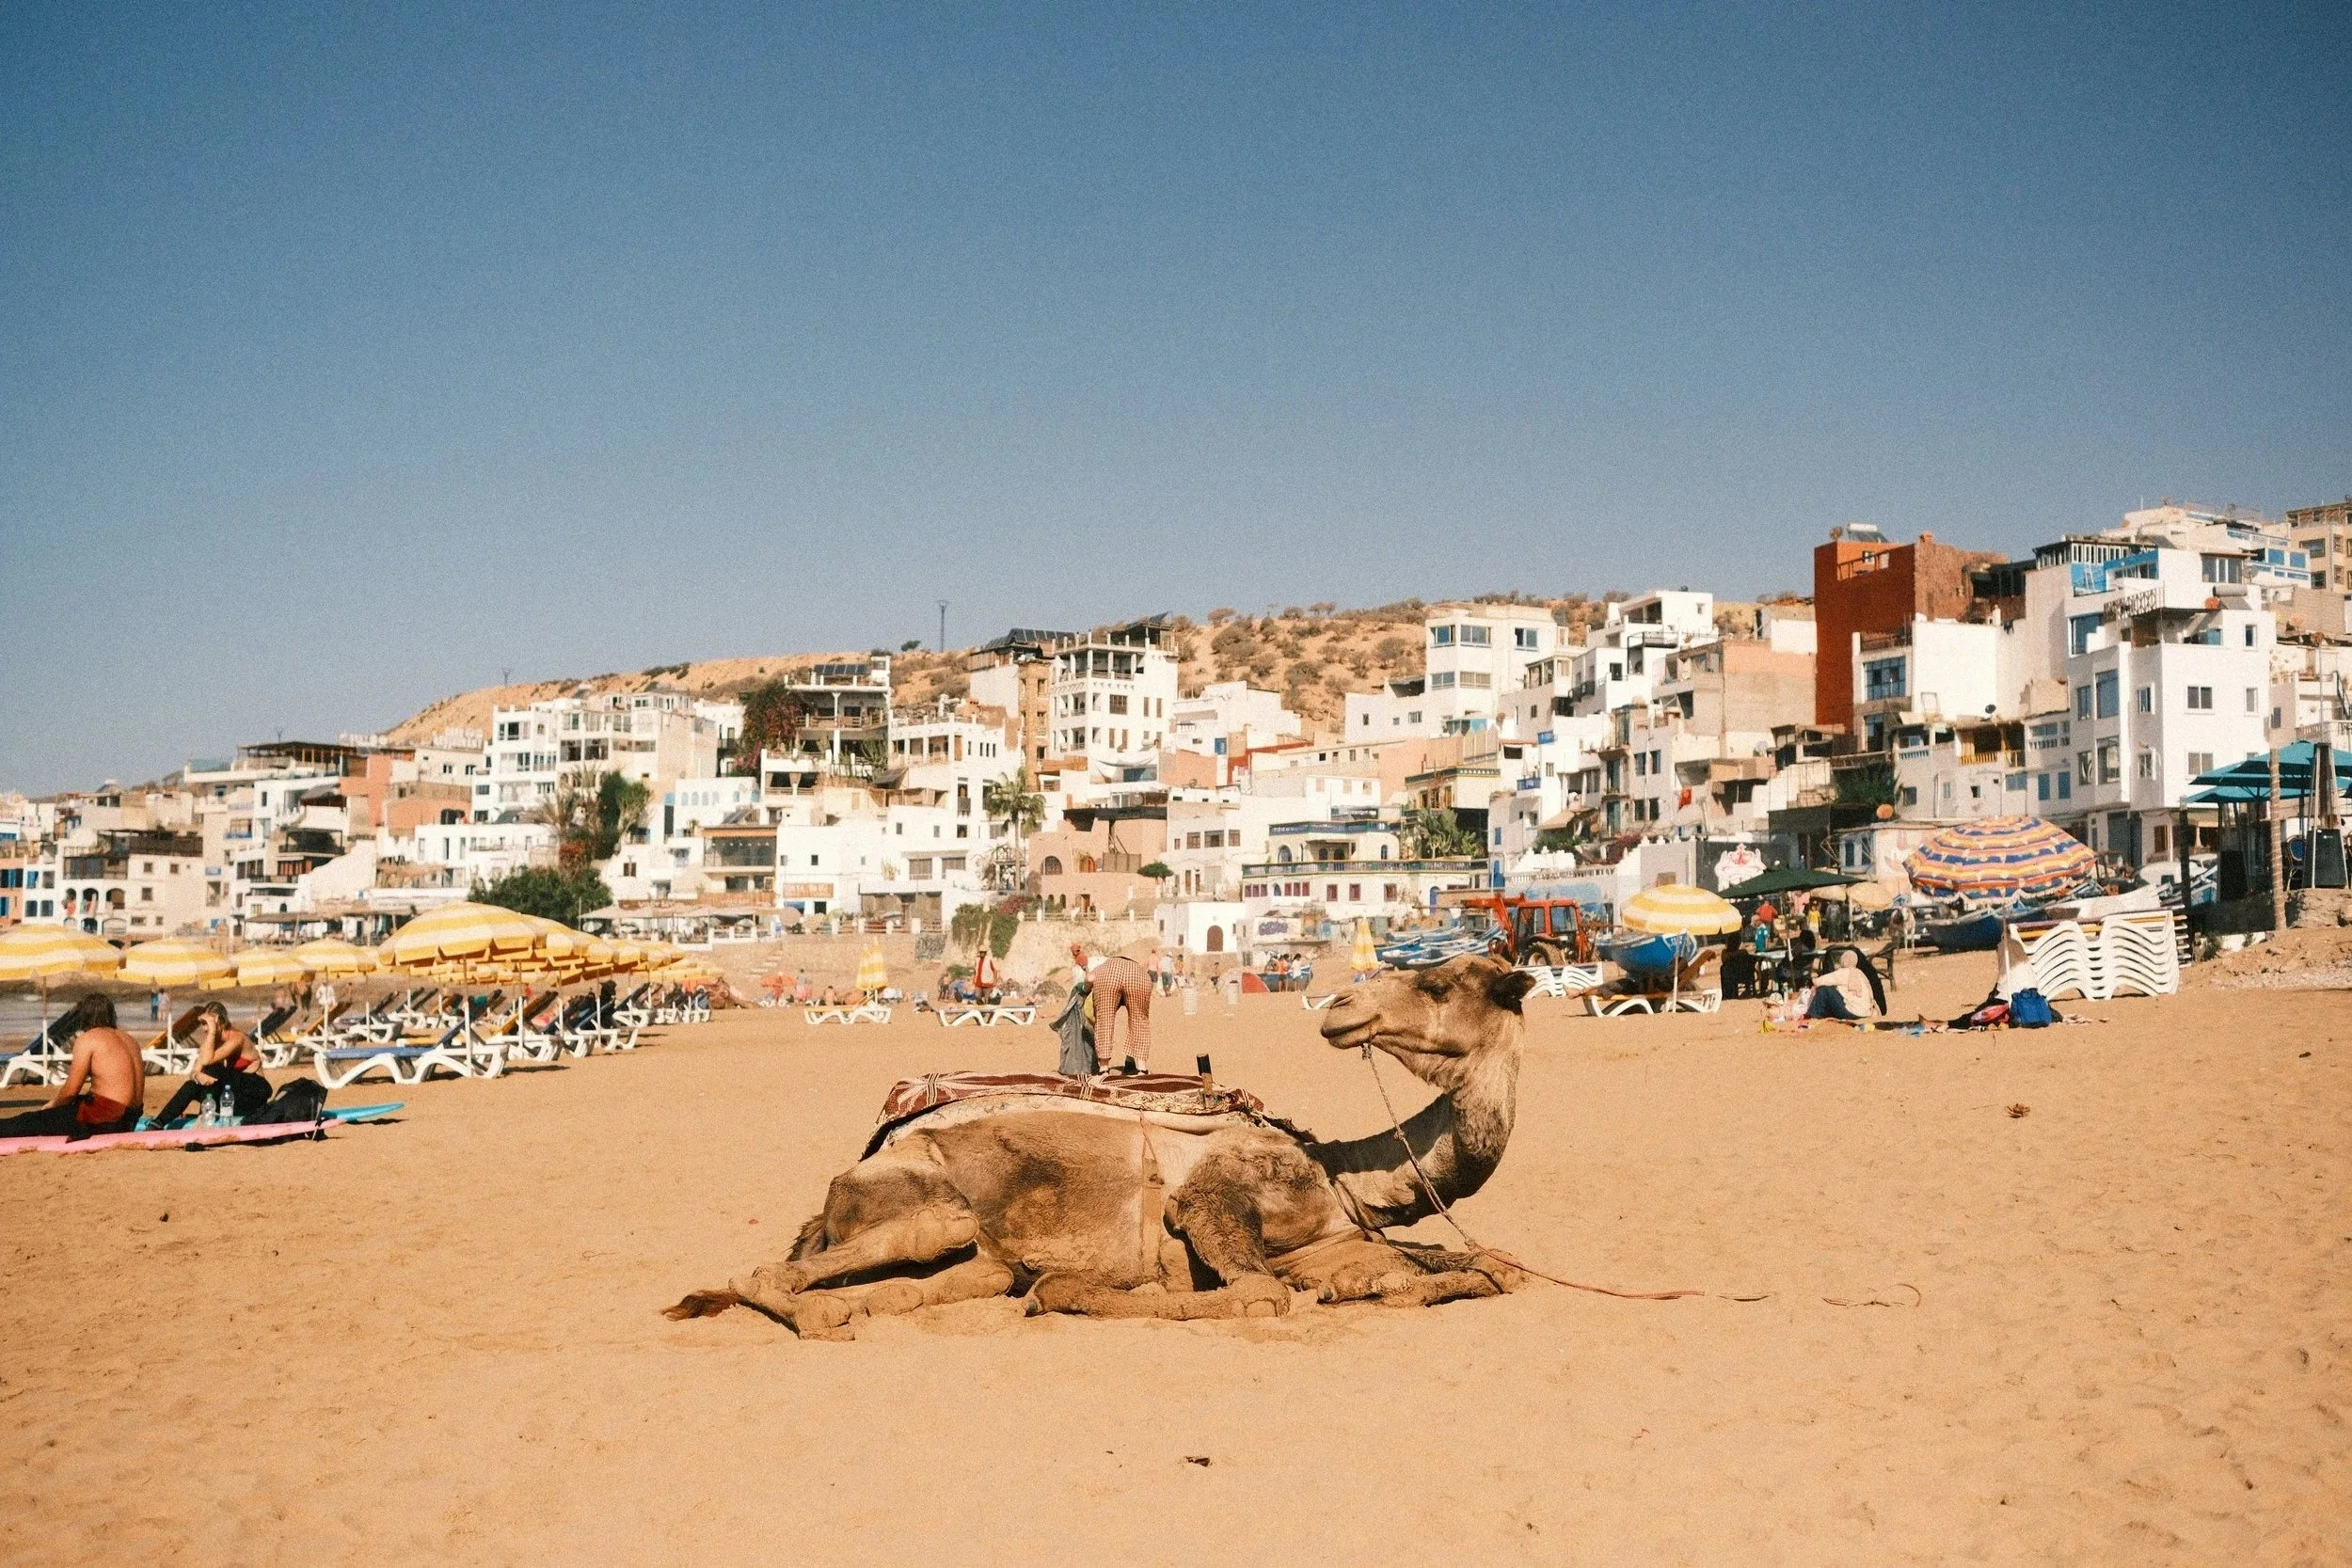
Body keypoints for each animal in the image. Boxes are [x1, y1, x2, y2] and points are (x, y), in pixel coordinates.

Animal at [666, 953, 1537, 1338]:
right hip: (929, 1207)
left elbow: (1494, 1267)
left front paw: (1378, 1288)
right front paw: (1073, 1289)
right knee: (765, 1272)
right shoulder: (1214, 1199)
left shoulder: (1328, 1244)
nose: (1340, 1007)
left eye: (1439, 981)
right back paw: (819, 1315)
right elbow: (1260, 1293)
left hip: (968, 1258)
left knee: (931, 1284)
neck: (1341, 1176)